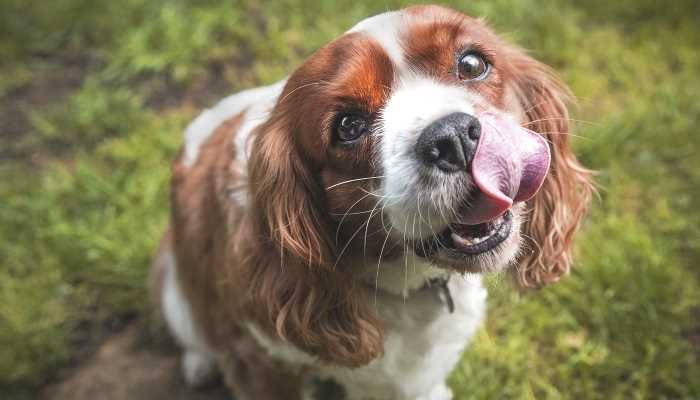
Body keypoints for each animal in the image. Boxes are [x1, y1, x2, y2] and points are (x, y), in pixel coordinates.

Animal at [152, 3, 592, 400]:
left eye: (471, 64)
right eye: (348, 126)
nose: (452, 137)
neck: (407, 282)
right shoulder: (261, 361)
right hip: (175, 287)